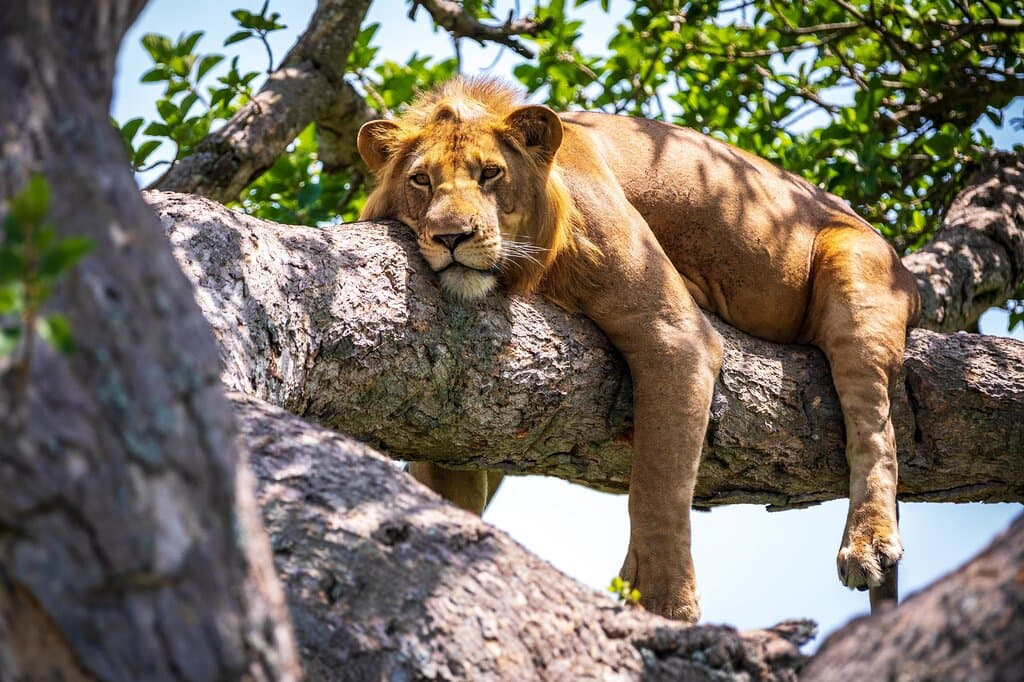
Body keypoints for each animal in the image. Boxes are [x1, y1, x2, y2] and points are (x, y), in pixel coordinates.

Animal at [357, 77, 920, 623]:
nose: (451, 236)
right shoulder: (457, 432)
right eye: (421, 180)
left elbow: (656, 488)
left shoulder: (676, 335)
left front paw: (668, 608)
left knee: (875, 427)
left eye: (491, 173)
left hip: (855, 277)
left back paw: (867, 544)